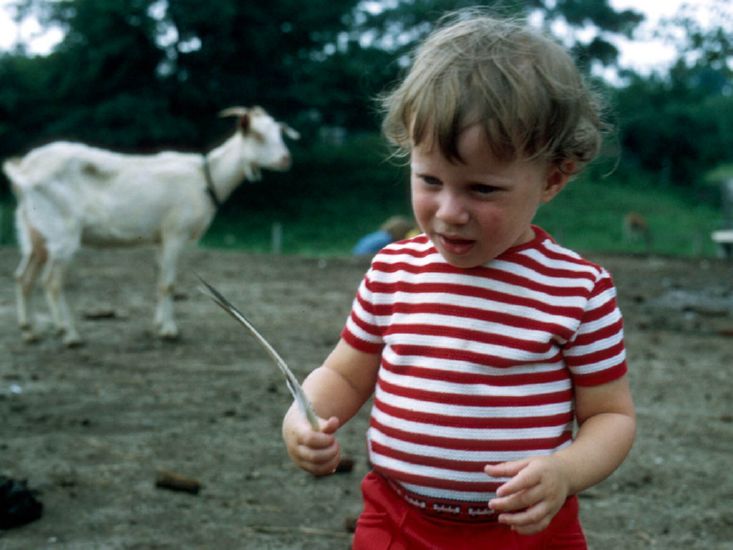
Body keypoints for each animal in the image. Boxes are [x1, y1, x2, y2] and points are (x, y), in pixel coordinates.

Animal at [4, 106, 298, 348]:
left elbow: (159, 279)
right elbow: (168, 283)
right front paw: (169, 331)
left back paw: (29, 331)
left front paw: (158, 325)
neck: (206, 178)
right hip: (62, 234)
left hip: (34, 234)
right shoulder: (175, 232)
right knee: (51, 282)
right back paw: (69, 334)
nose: (286, 159)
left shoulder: (160, 238)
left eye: (279, 132)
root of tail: (23, 171)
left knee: (23, 277)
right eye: (257, 135)